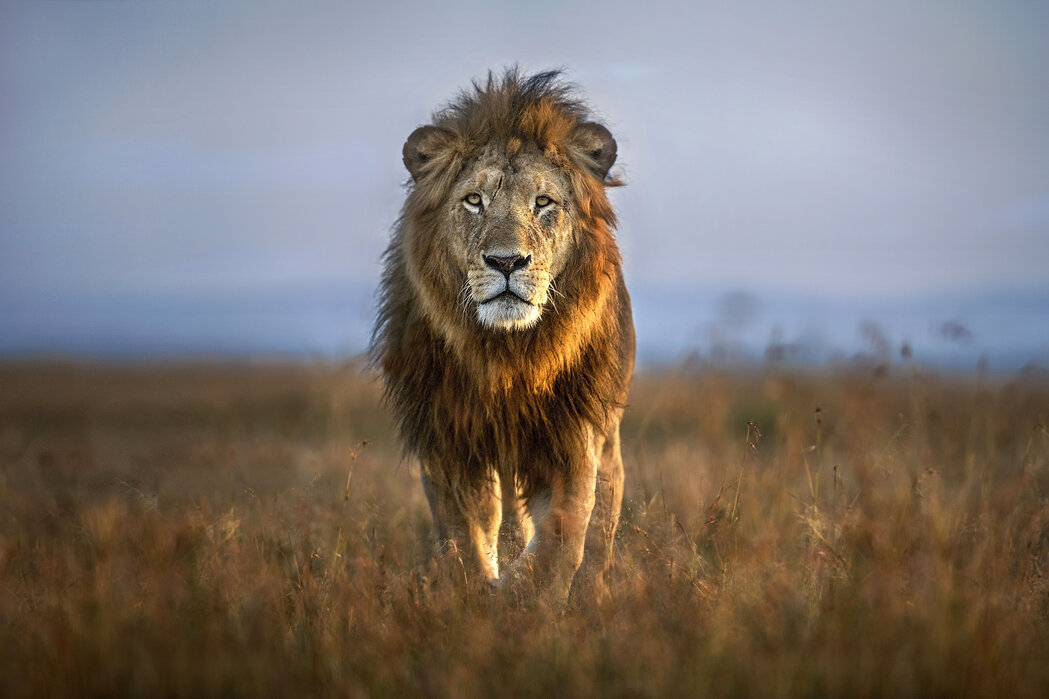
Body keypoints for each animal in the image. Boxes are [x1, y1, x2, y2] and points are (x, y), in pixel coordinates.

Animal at [373, 70, 633, 600]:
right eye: (474, 200)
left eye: (543, 202)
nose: (507, 261)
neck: (508, 354)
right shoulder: (448, 438)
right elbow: (465, 535)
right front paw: (476, 595)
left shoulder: (572, 435)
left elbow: (561, 536)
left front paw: (523, 599)